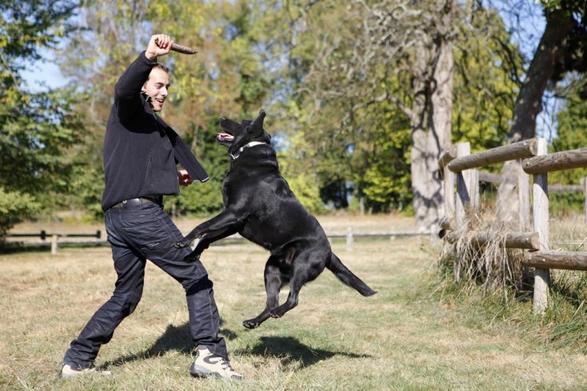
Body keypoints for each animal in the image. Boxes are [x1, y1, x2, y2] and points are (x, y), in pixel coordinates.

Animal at [177, 108, 376, 330]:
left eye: (241, 122)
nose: (220, 118)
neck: (248, 151)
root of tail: (329, 252)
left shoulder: (234, 212)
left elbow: (202, 225)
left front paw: (183, 241)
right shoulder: (234, 222)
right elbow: (208, 237)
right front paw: (193, 254)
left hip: (301, 265)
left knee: (293, 299)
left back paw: (278, 313)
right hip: (271, 269)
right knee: (271, 302)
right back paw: (254, 321)